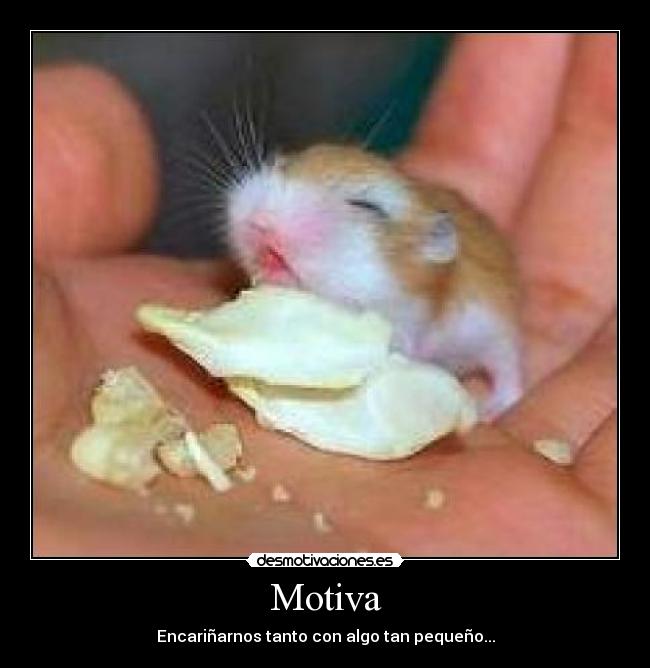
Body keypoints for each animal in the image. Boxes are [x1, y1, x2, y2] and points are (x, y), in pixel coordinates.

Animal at [225, 143, 522, 420]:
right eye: (283, 165)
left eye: (367, 206)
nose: (259, 222)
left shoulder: (401, 333)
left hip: (498, 336)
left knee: (511, 375)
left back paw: (489, 410)